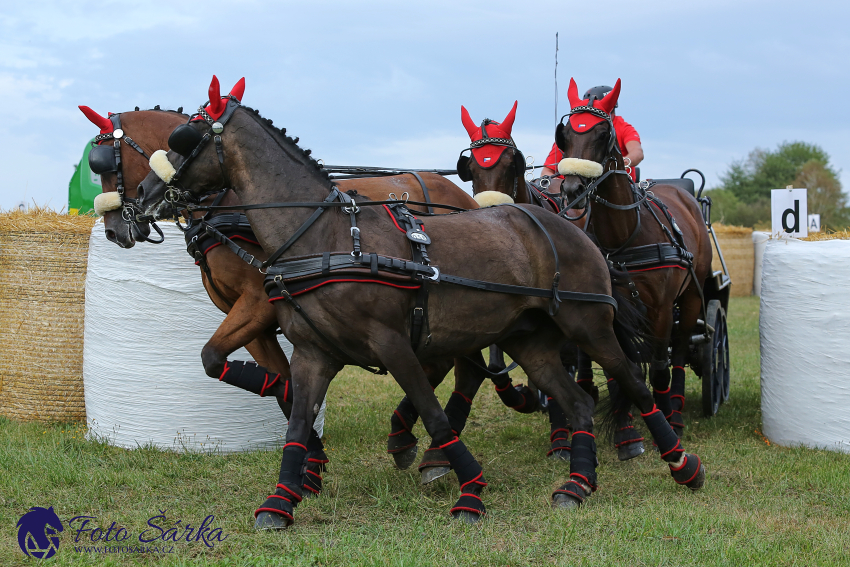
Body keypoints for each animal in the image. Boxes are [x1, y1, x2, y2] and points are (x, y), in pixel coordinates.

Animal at [132, 76, 704, 532]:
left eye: (184, 137)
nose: (142, 195)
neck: (324, 237)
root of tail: (569, 224)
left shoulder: (392, 344)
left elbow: (433, 414)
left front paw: (469, 489)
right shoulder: (315, 353)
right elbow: (295, 420)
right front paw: (282, 500)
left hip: (589, 325)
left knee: (633, 379)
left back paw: (679, 462)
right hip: (531, 340)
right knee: (578, 400)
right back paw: (578, 483)